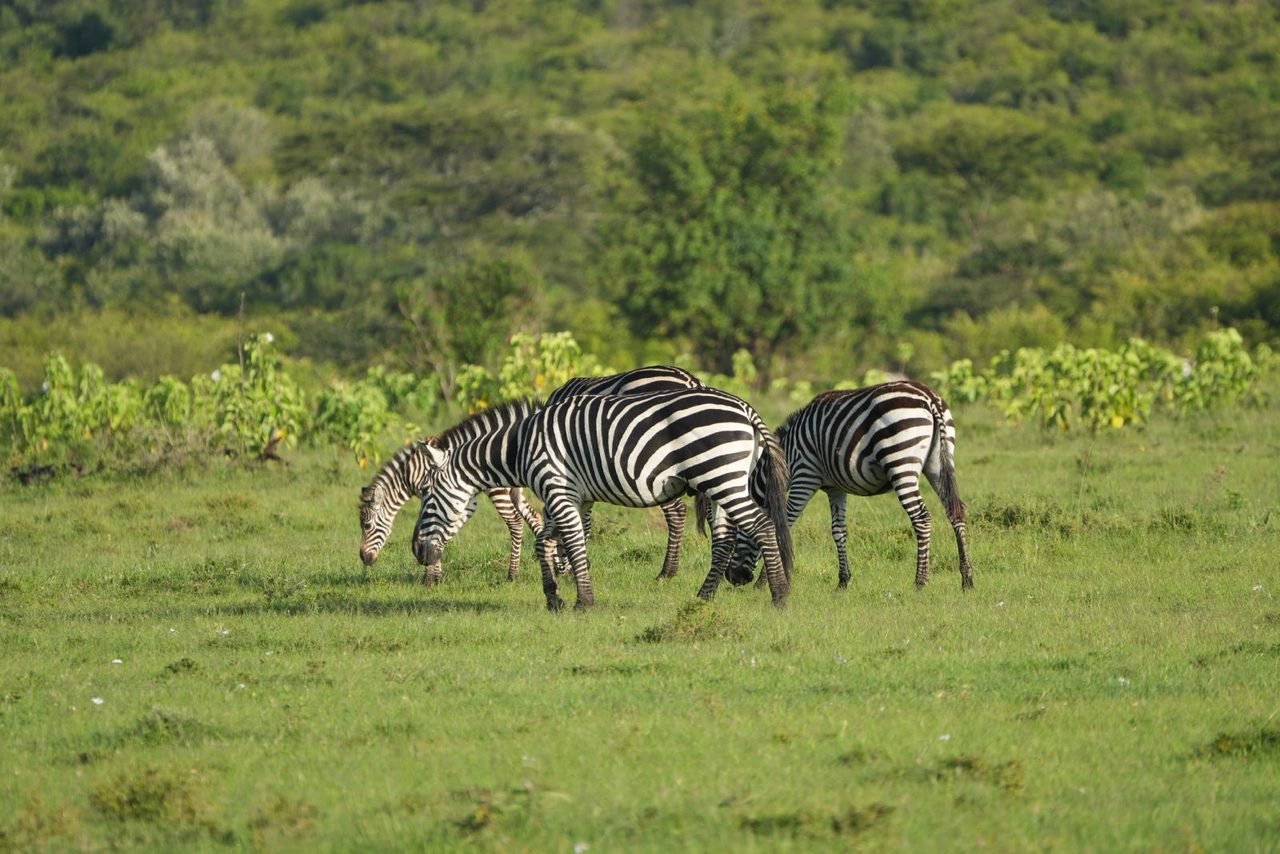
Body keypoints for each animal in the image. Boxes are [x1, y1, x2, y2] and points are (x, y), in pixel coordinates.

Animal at [358, 365, 707, 582]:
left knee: (676, 512)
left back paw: (667, 572)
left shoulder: (516, 483)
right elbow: (545, 518)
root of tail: (692, 381)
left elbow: (527, 521)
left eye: (366, 524)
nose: (364, 560)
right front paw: (560, 563)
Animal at [410, 388, 794, 610]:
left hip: (719, 476)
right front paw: (553, 596)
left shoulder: (557, 489)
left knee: (761, 525)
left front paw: (584, 601)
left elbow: (572, 543)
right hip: (723, 480)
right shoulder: (571, 496)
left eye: (428, 497)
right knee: (727, 538)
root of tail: (744, 407)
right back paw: (704, 597)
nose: (416, 552)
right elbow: (547, 542)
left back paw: (779, 595)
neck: (521, 447)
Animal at [699, 380, 973, 597]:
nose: (734, 579)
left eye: (737, 534)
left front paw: (764, 582)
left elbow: (783, 524)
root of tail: (929, 398)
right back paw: (967, 579)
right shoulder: (835, 489)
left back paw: (920, 581)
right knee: (956, 512)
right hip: (938, 463)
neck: (786, 454)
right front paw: (843, 581)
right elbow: (839, 531)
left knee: (922, 518)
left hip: (901, 462)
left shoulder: (804, 477)